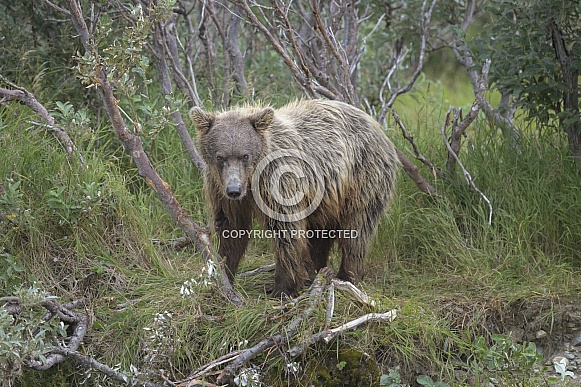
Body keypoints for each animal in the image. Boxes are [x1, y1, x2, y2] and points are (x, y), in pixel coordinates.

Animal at [191, 100, 398, 298]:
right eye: (220, 157)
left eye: (245, 155)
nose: (234, 189)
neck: (252, 180)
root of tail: (378, 127)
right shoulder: (220, 189)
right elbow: (231, 229)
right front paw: (224, 276)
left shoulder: (277, 181)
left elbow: (285, 231)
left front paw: (282, 288)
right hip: (326, 199)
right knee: (321, 234)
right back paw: (314, 273)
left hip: (362, 177)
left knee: (357, 229)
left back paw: (347, 276)